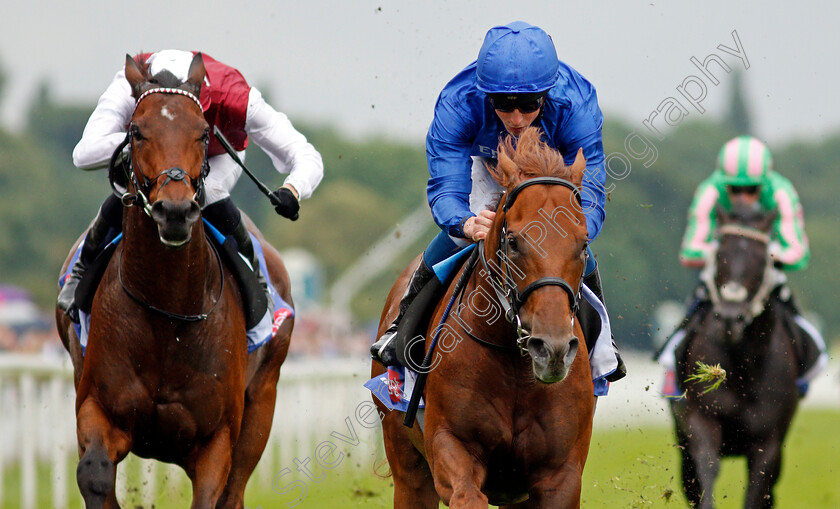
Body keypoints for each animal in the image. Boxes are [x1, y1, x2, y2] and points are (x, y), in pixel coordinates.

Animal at [54, 52, 294, 508]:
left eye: (203, 134)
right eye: (136, 132)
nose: (176, 211)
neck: (167, 311)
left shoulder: (218, 440)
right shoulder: (96, 407)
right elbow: (93, 475)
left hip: (262, 405)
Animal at [370, 128, 592, 508]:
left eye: (583, 244)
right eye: (514, 242)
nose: (552, 350)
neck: (516, 365)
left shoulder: (560, 476)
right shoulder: (450, 448)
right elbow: (466, 494)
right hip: (408, 467)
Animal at [668, 203, 800, 508]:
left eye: (763, 259)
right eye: (720, 254)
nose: (730, 317)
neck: (744, 368)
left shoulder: (768, 443)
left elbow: (756, 491)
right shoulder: (702, 421)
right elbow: (706, 470)